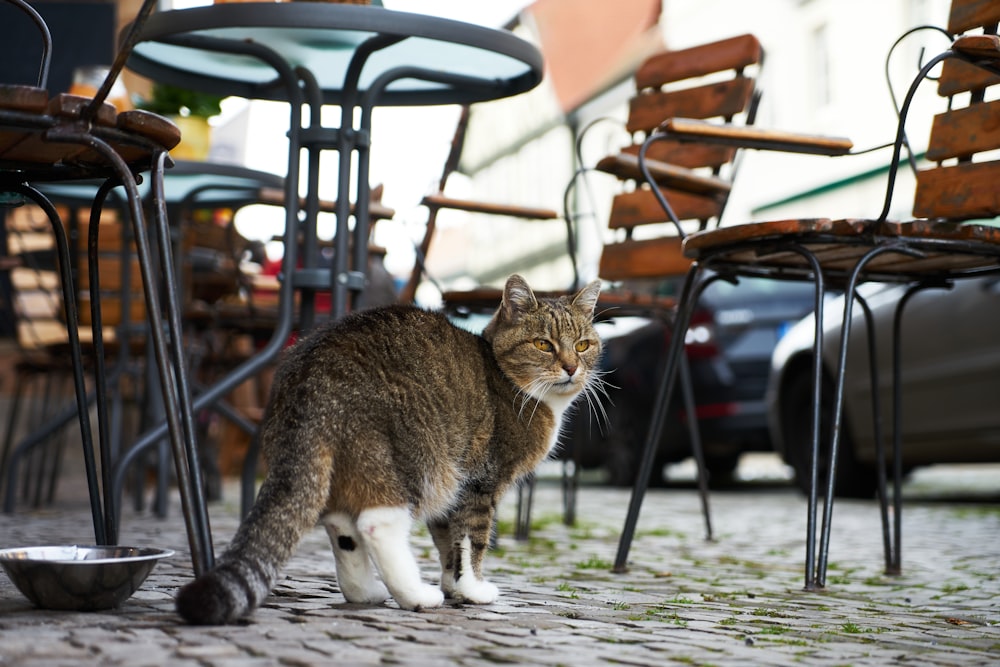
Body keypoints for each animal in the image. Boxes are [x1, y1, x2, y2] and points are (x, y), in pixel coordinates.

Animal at [174, 272, 600, 628]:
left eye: (583, 345)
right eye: (543, 344)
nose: (571, 368)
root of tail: (310, 380)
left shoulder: (455, 485)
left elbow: (446, 541)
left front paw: (453, 586)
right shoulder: (481, 480)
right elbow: (471, 540)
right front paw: (473, 590)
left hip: (359, 463)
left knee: (341, 524)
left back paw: (365, 592)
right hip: (415, 458)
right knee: (376, 524)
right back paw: (415, 596)